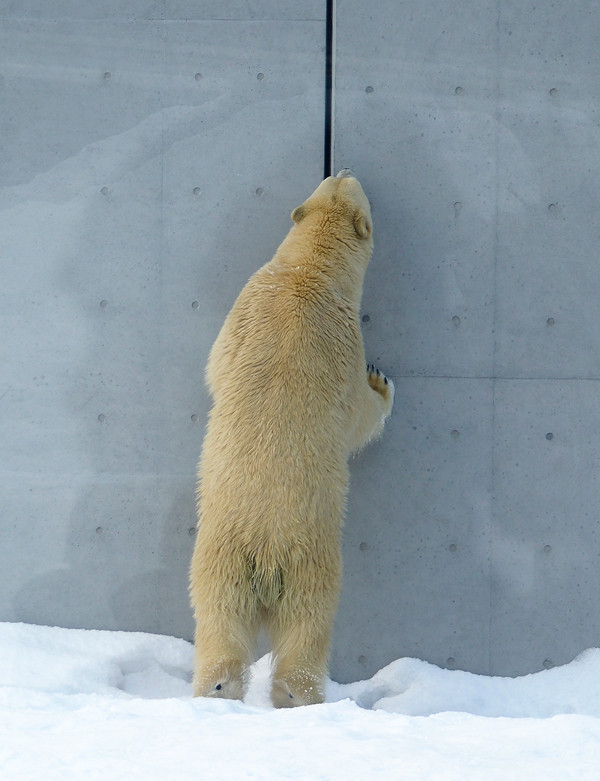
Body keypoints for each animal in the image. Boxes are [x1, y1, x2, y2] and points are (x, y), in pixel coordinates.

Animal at [189, 171, 394, 708]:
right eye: (344, 182)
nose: (344, 168)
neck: (306, 272)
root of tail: (265, 555)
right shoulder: (345, 341)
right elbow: (358, 417)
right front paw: (382, 383)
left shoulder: (242, 309)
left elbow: (214, 364)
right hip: (309, 566)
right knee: (308, 630)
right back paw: (300, 698)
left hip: (220, 565)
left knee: (218, 624)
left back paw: (215, 688)